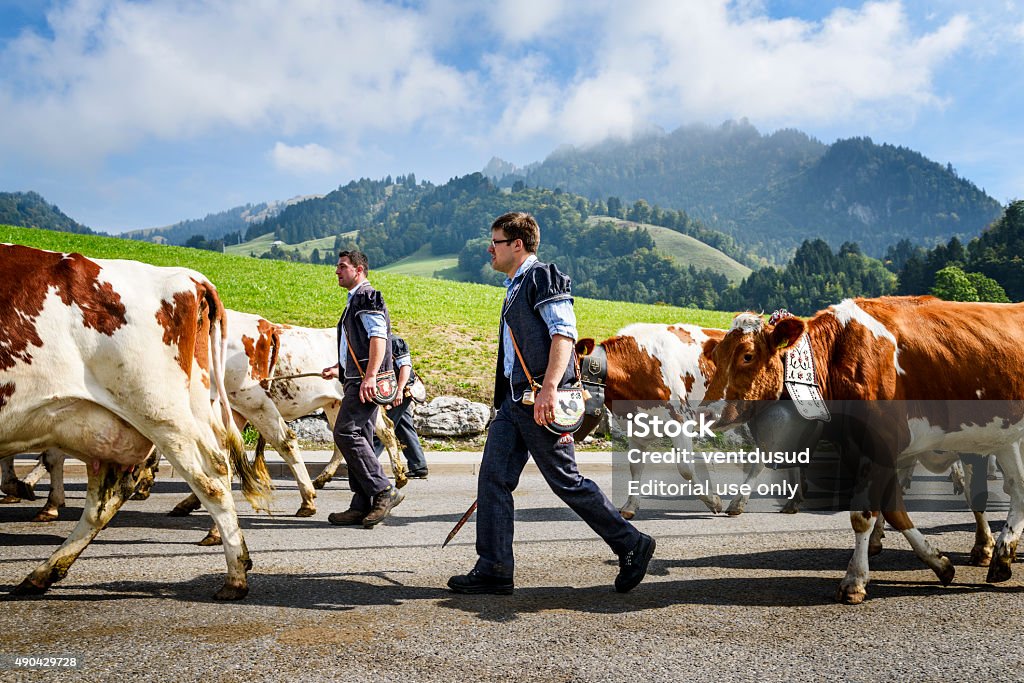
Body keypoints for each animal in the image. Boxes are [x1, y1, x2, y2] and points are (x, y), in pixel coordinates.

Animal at [0, 244, 272, 598]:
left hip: (160, 413)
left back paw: (235, 577)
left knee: (211, 476)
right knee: (106, 498)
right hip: (119, 424)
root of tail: (189, 278)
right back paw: (43, 572)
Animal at [704, 296, 1024, 602]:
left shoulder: (882, 446)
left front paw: (854, 581)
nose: (705, 412)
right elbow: (893, 509)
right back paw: (1001, 558)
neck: (840, 357)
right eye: (716, 357)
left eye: (747, 355)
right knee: (1017, 489)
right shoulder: (859, 448)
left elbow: (863, 515)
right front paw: (940, 564)